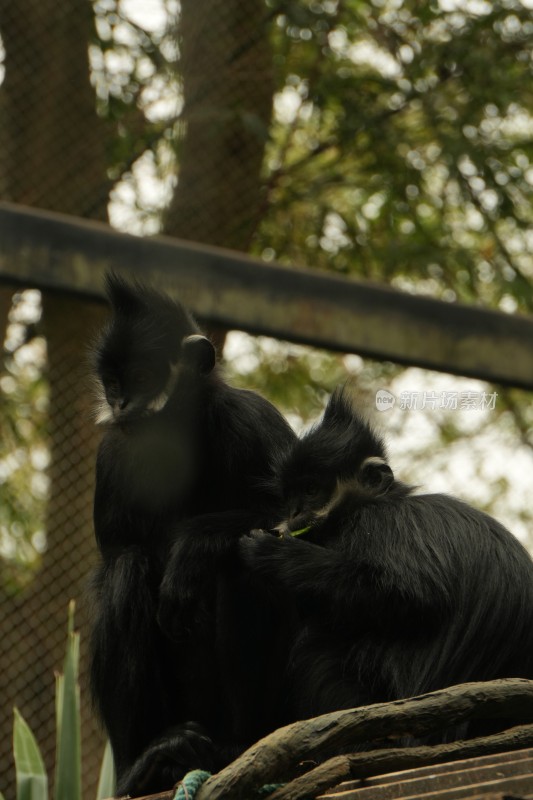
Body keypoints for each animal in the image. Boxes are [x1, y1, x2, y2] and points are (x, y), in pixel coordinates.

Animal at [89, 274, 294, 792]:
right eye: (113, 385)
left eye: (143, 379)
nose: (121, 405)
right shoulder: (113, 451)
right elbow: (116, 554)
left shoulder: (248, 417)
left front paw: (192, 548)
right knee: (127, 567)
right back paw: (147, 763)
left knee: (242, 557)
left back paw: (237, 747)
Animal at [240, 384, 532, 728]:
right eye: (290, 498)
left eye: (310, 491)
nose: (295, 513)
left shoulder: (378, 523)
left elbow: (413, 594)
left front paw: (272, 553)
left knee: (317, 646)